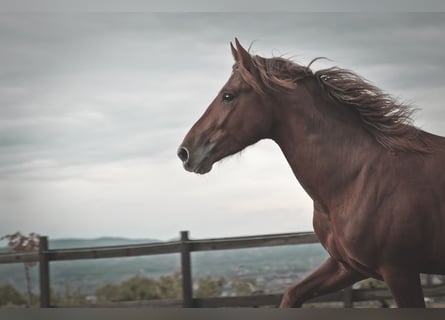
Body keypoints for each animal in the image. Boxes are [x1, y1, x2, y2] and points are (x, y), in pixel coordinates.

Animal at [177, 39, 444, 308]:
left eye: (227, 96)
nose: (185, 153)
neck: (357, 178)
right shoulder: (347, 266)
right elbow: (291, 294)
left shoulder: (399, 272)